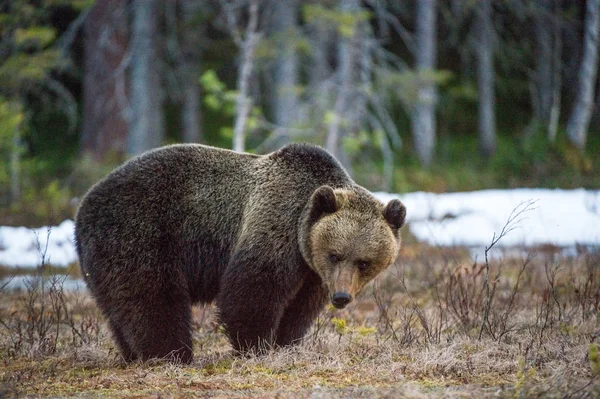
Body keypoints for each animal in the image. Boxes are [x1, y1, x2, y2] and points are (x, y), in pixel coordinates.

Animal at [72, 142, 406, 364]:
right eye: (335, 254)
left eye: (364, 262)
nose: (341, 297)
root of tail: (83, 205)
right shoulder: (276, 226)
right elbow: (251, 291)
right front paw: (255, 346)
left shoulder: (311, 271)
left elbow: (299, 308)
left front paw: (286, 343)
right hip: (140, 233)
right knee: (152, 298)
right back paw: (171, 354)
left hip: (102, 259)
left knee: (119, 307)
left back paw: (133, 354)